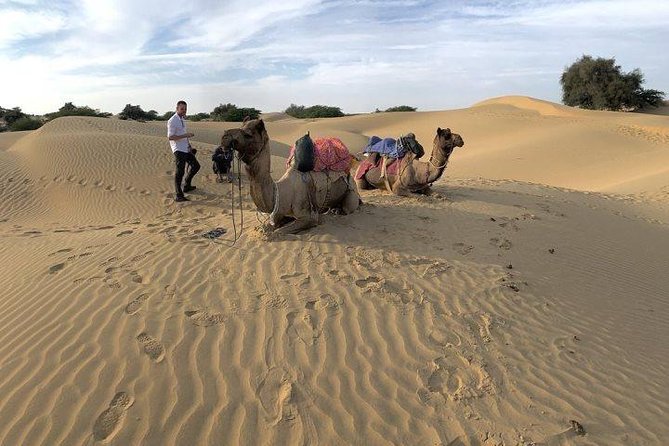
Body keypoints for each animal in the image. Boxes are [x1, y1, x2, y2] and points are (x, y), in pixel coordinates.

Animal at [220, 118, 361, 234]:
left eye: (248, 134)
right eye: (240, 126)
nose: (224, 137)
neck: (281, 192)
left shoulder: (308, 217)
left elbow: (278, 232)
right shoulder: (279, 213)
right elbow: (267, 227)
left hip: (351, 191)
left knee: (348, 207)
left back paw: (337, 211)